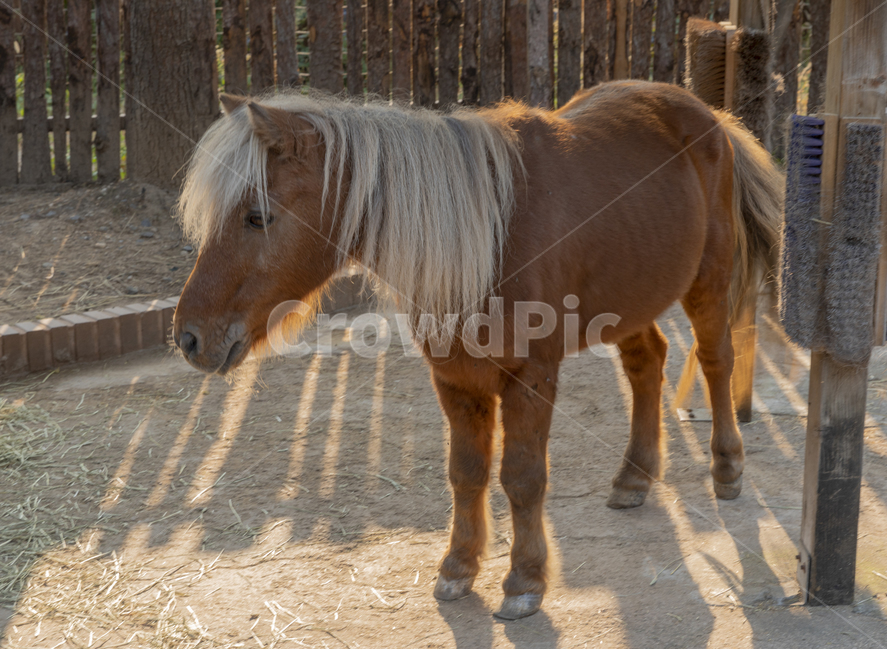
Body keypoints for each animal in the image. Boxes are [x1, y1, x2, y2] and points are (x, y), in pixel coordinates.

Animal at [172, 81, 783, 620]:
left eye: (257, 216)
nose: (188, 337)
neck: (492, 234)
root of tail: (710, 115)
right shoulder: (455, 378)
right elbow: (466, 472)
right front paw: (459, 567)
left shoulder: (530, 377)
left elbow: (522, 477)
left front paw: (525, 582)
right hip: (633, 294)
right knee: (647, 364)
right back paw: (634, 478)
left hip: (708, 280)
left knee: (716, 360)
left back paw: (727, 467)